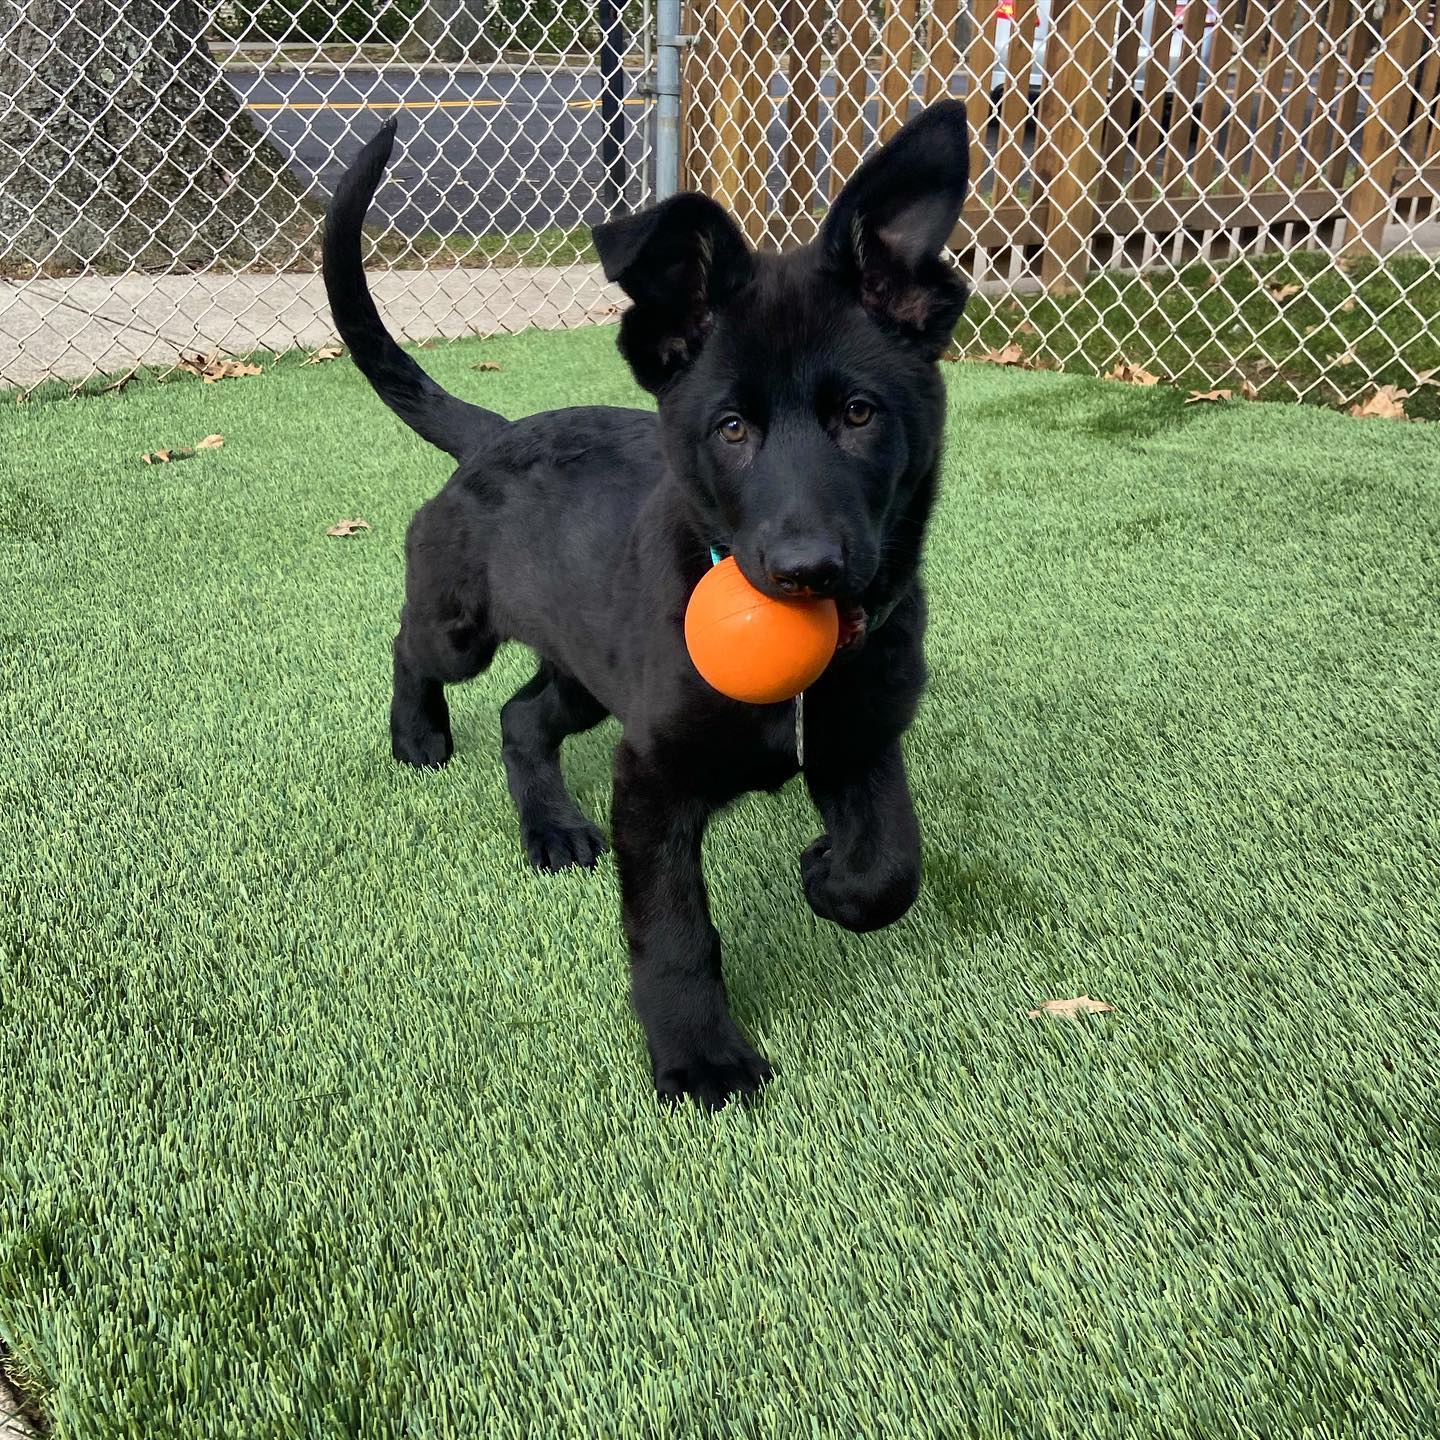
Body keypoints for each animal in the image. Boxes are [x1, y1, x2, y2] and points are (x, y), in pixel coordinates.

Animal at [323, 100, 970, 1109]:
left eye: (860, 414)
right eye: (732, 428)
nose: (806, 569)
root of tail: (496, 433)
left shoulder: (860, 740)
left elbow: (891, 868)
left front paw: (827, 873)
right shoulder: (653, 780)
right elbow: (674, 933)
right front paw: (698, 1055)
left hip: (589, 673)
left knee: (522, 718)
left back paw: (551, 829)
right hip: (461, 627)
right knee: (413, 648)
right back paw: (418, 735)